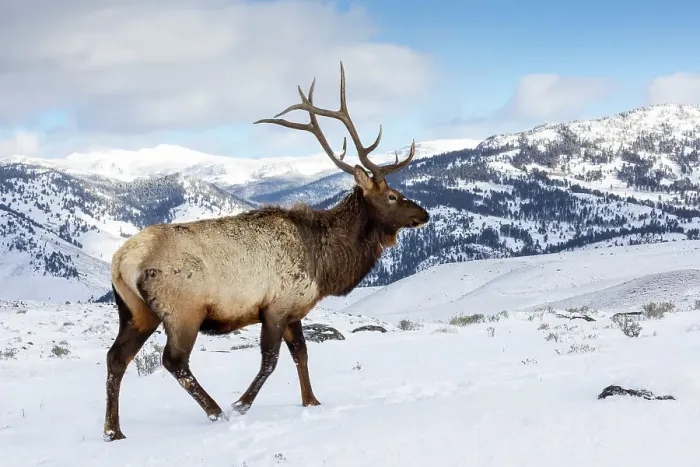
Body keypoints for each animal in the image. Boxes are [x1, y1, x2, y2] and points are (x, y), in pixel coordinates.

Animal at [103, 61, 429, 441]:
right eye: (392, 196)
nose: (424, 214)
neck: (324, 263)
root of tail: (122, 261)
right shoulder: (275, 306)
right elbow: (271, 361)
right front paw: (241, 404)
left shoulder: (294, 309)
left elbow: (302, 354)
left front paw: (311, 401)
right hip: (183, 310)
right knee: (173, 361)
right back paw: (216, 411)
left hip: (135, 311)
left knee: (116, 357)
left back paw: (113, 430)